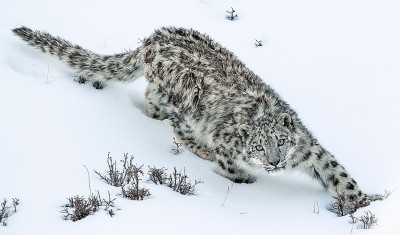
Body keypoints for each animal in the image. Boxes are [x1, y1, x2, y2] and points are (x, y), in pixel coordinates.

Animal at [12, 25, 384, 213]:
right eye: (258, 147)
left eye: (281, 142)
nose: (275, 162)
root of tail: (152, 39)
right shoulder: (229, 149)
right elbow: (234, 171)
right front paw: (248, 184)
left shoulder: (310, 150)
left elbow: (337, 174)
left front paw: (364, 202)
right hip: (182, 99)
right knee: (171, 121)